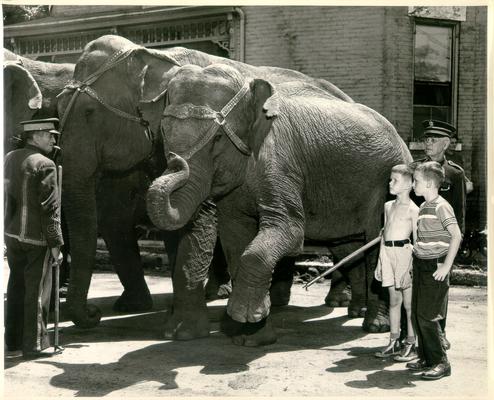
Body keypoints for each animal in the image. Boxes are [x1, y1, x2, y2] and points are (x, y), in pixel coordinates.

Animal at [55, 33, 358, 338]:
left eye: (90, 112)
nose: (93, 314)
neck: (155, 55)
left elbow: (200, 217)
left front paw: (183, 330)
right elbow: (161, 217)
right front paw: (160, 315)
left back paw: (339, 303)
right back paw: (270, 300)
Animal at [146, 64, 412, 346]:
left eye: (217, 138)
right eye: (163, 134)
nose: (177, 161)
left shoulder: (281, 161)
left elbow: (290, 230)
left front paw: (246, 316)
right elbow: (235, 237)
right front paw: (249, 337)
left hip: (385, 181)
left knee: (376, 242)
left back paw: (374, 325)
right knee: (347, 246)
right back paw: (355, 312)